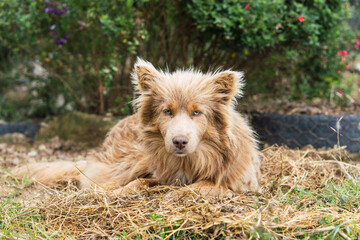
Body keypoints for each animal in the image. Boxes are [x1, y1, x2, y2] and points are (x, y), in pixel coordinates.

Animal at [13, 59, 262, 196]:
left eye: (197, 113)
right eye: (167, 111)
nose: (179, 142)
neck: (189, 161)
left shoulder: (241, 180)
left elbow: (205, 184)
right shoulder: (160, 173)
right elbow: (141, 182)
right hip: (135, 157)